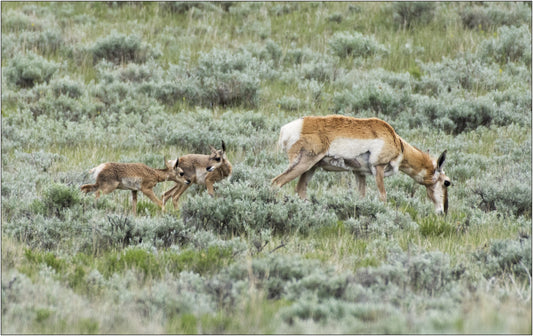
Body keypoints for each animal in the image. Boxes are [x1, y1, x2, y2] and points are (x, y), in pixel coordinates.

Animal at [270, 115, 448, 214]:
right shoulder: (378, 169)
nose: (444, 212)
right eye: (447, 182)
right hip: (303, 164)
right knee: (276, 183)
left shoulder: (359, 173)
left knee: (300, 190)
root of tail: (288, 128)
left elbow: (361, 197)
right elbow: (383, 196)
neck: (398, 143)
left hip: (311, 168)